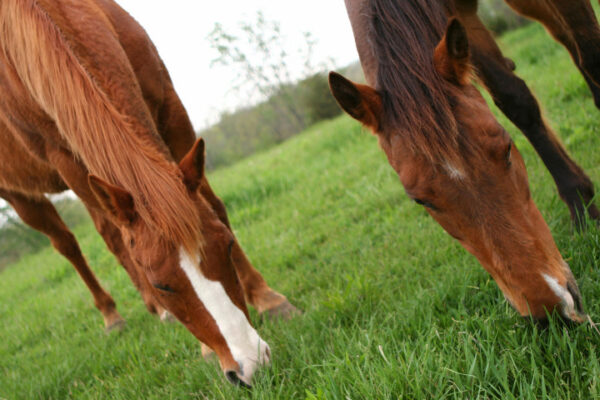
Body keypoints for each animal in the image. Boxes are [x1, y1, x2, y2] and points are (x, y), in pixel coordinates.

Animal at [0, 0, 296, 388]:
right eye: (162, 285)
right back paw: (114, 315)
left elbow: (213, 205)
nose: (250, 367)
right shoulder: (65, 158)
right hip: (21, 195)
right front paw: (202, 344)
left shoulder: (170, 106)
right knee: (73, 244)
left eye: (229, 246)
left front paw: (267, 299)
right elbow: (119, 240)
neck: (53, 19)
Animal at [332, 0, 592, 324]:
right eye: (421, 201)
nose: (551, 311)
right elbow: (513, 98)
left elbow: (586, 53)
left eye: (507, 150)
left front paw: (583, 207)